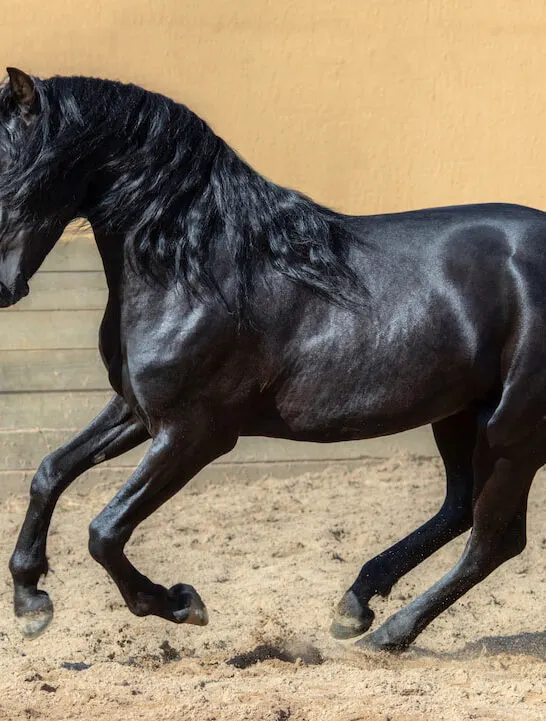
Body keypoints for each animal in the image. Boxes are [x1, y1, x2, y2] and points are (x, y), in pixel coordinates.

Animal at [0, 67, 541, 651]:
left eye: (11, 169)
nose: (3, 289)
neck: (196, 272)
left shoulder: (196, 434)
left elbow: (104, 531)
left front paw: (179, 603)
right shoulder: (138, 411)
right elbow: (50, 472)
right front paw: (31, 600)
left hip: (512, 434)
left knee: (493, 542)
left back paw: (388, 633)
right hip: (461, 415)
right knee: (459, 510)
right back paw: (355, 605)